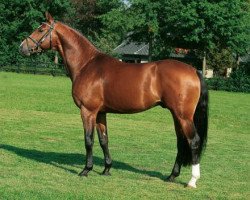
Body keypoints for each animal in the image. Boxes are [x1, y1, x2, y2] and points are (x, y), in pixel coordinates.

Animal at [19, 12, 208, 188]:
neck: (86, 65)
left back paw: (192, 181)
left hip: (183, 116)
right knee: (181, 141)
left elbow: (88, 140)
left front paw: (86, 170)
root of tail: (193, 70)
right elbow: (104, 140)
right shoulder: (100, 113)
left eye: (41, 29)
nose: (22, 47)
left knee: (193, 141)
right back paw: (171, 176)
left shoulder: (88, 111)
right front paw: (106, 169)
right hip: (177, 115)